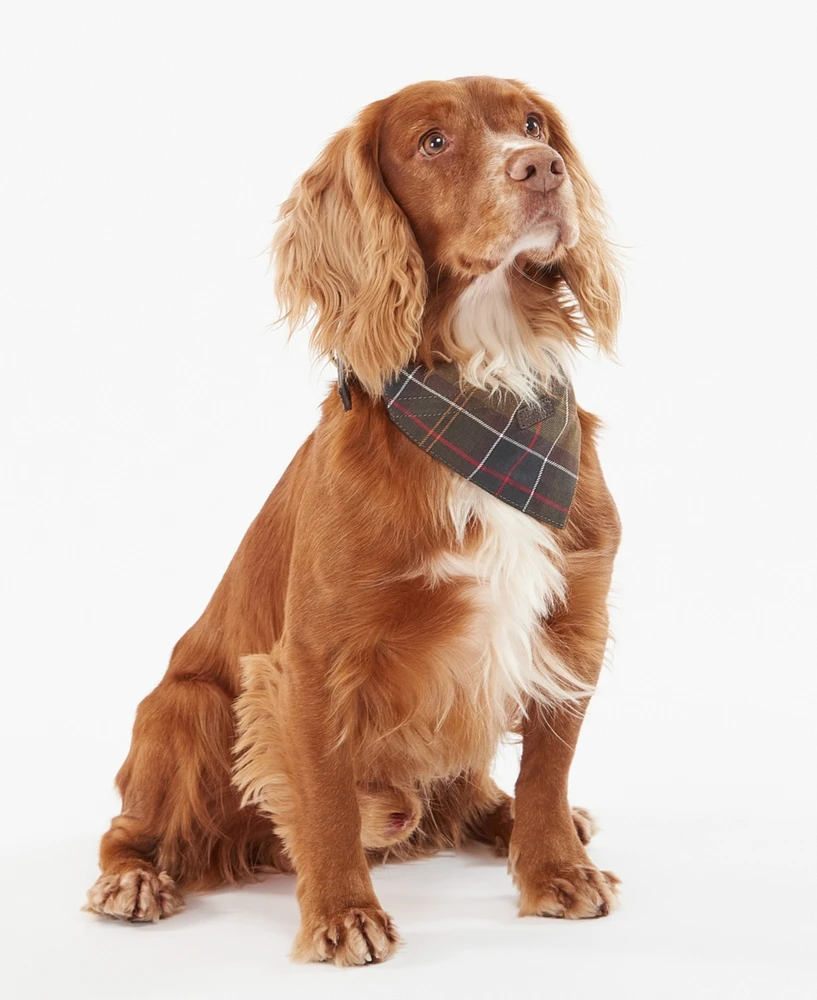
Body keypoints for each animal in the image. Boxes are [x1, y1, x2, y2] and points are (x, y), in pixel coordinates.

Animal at [84, 78, 620, 968]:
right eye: (432, 141)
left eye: (533, 124)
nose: (540, 167)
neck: (485, 388)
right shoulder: (311, 660)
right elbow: (326, 798)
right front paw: (342, 914)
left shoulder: (574, 620)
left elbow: (550, 769)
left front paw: (554, 869)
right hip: (186, 708)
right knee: (130, 826)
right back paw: (133, 879)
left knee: (476, 792)